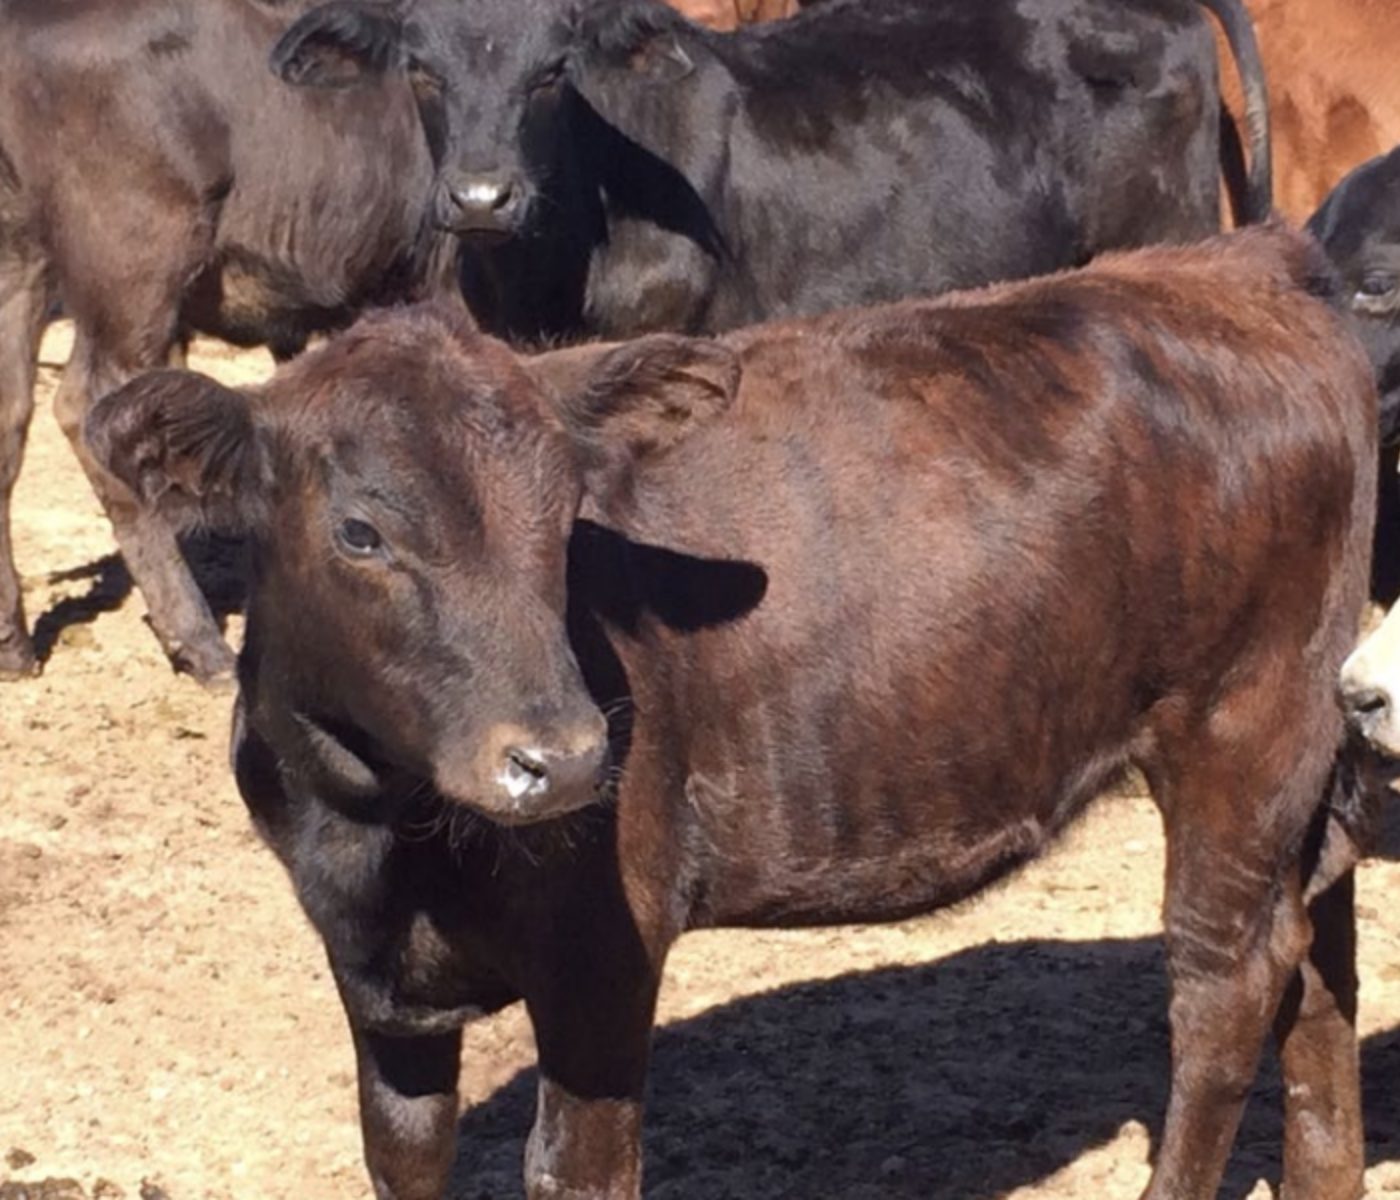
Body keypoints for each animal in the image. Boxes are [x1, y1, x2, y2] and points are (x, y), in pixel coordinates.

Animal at [90, 224, 1377, 1198]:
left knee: (1223, 988)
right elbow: (403, 1157)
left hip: (1244, 730)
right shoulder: (376, 985)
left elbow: (575, 1169)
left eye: (564, 515)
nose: (563, 758)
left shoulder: (603, 951)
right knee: (1316, 960)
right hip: (1308, 753)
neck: (380, 835)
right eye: (359, 532)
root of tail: (1232, 264)